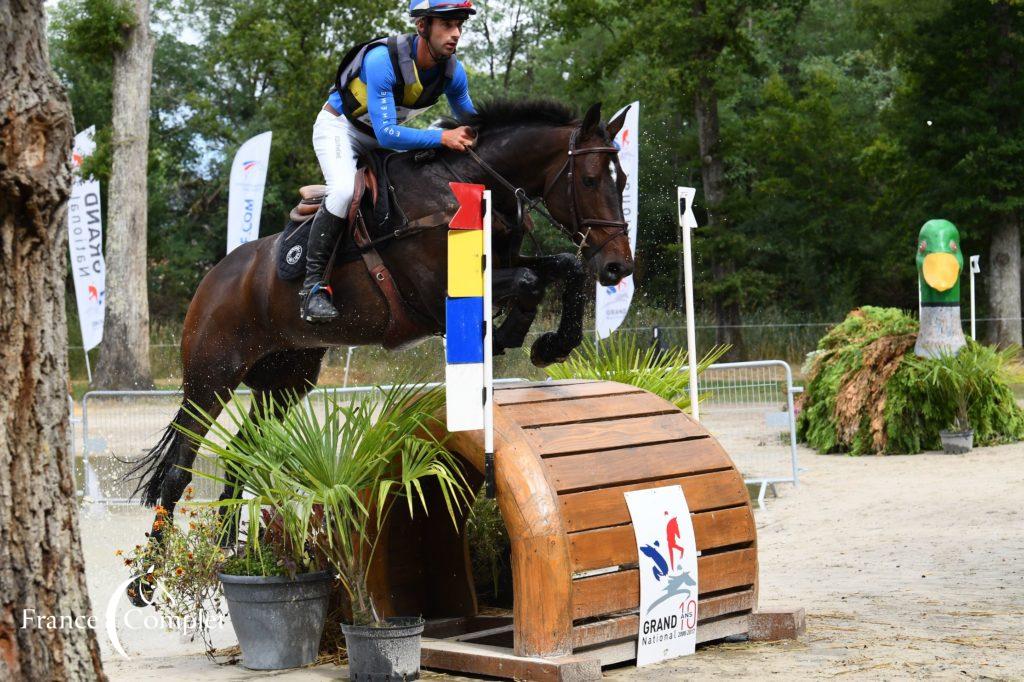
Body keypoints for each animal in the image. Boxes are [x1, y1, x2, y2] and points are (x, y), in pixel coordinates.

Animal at [130, 98, 630, 548]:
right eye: (589, 180)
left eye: (623, 180)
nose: (617, 267)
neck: (468, 186)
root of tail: (212, 279)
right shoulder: (435, 298)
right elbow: (531, 280)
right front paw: (513, 335)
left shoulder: (505, 265)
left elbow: (563, 266)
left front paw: (548, 344)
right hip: (211, 378)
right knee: (178, 468)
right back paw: (150, 575)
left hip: (285, 381)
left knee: (237, 455)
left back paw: (227, 553)